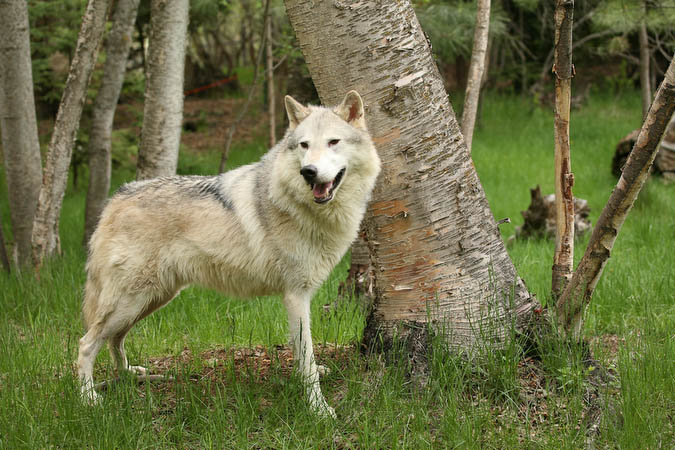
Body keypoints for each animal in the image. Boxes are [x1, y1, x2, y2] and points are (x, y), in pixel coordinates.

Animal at [77, 91, 382, 418]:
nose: (308, 172)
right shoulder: (295, 295)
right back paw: (88, 398)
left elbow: (303, 354)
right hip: (132, 301)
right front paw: (319, 410)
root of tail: (115, 199)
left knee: (114, 339)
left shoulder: (298, 297)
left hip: (151, 300)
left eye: (333, 142)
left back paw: (129, 374)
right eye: (304, 145)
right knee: (86, 343)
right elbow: (307, 355)